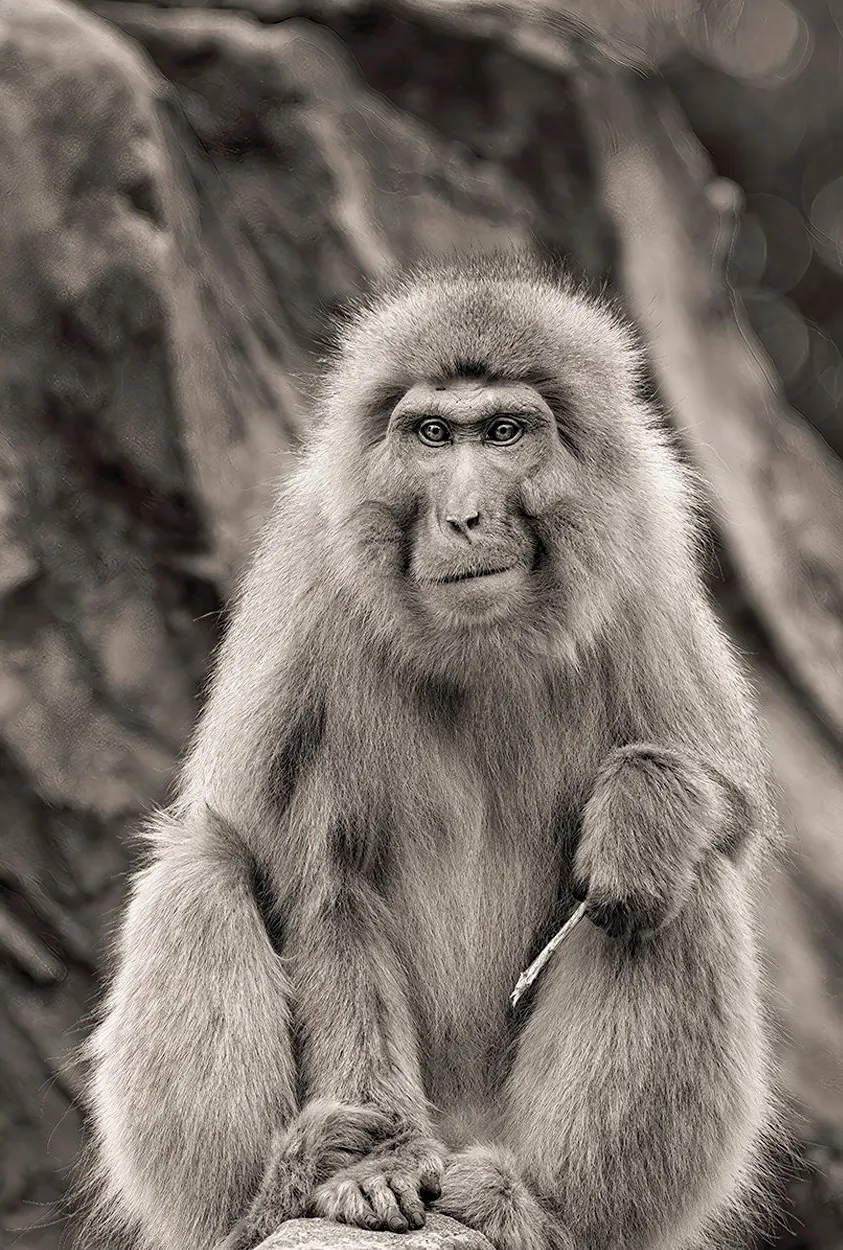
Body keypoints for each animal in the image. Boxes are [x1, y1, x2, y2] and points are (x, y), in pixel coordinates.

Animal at [84, 253, 779, 1250]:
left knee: (679, 892)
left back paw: (541, 1208)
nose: (463, 516)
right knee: (202, 867)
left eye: (503, 431)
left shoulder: (643, 561)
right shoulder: (313, 585)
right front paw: (373, 1170)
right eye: (432, 434)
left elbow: (728, 802)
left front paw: (644, 810)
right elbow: (321, 879)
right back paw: (274, 1191)